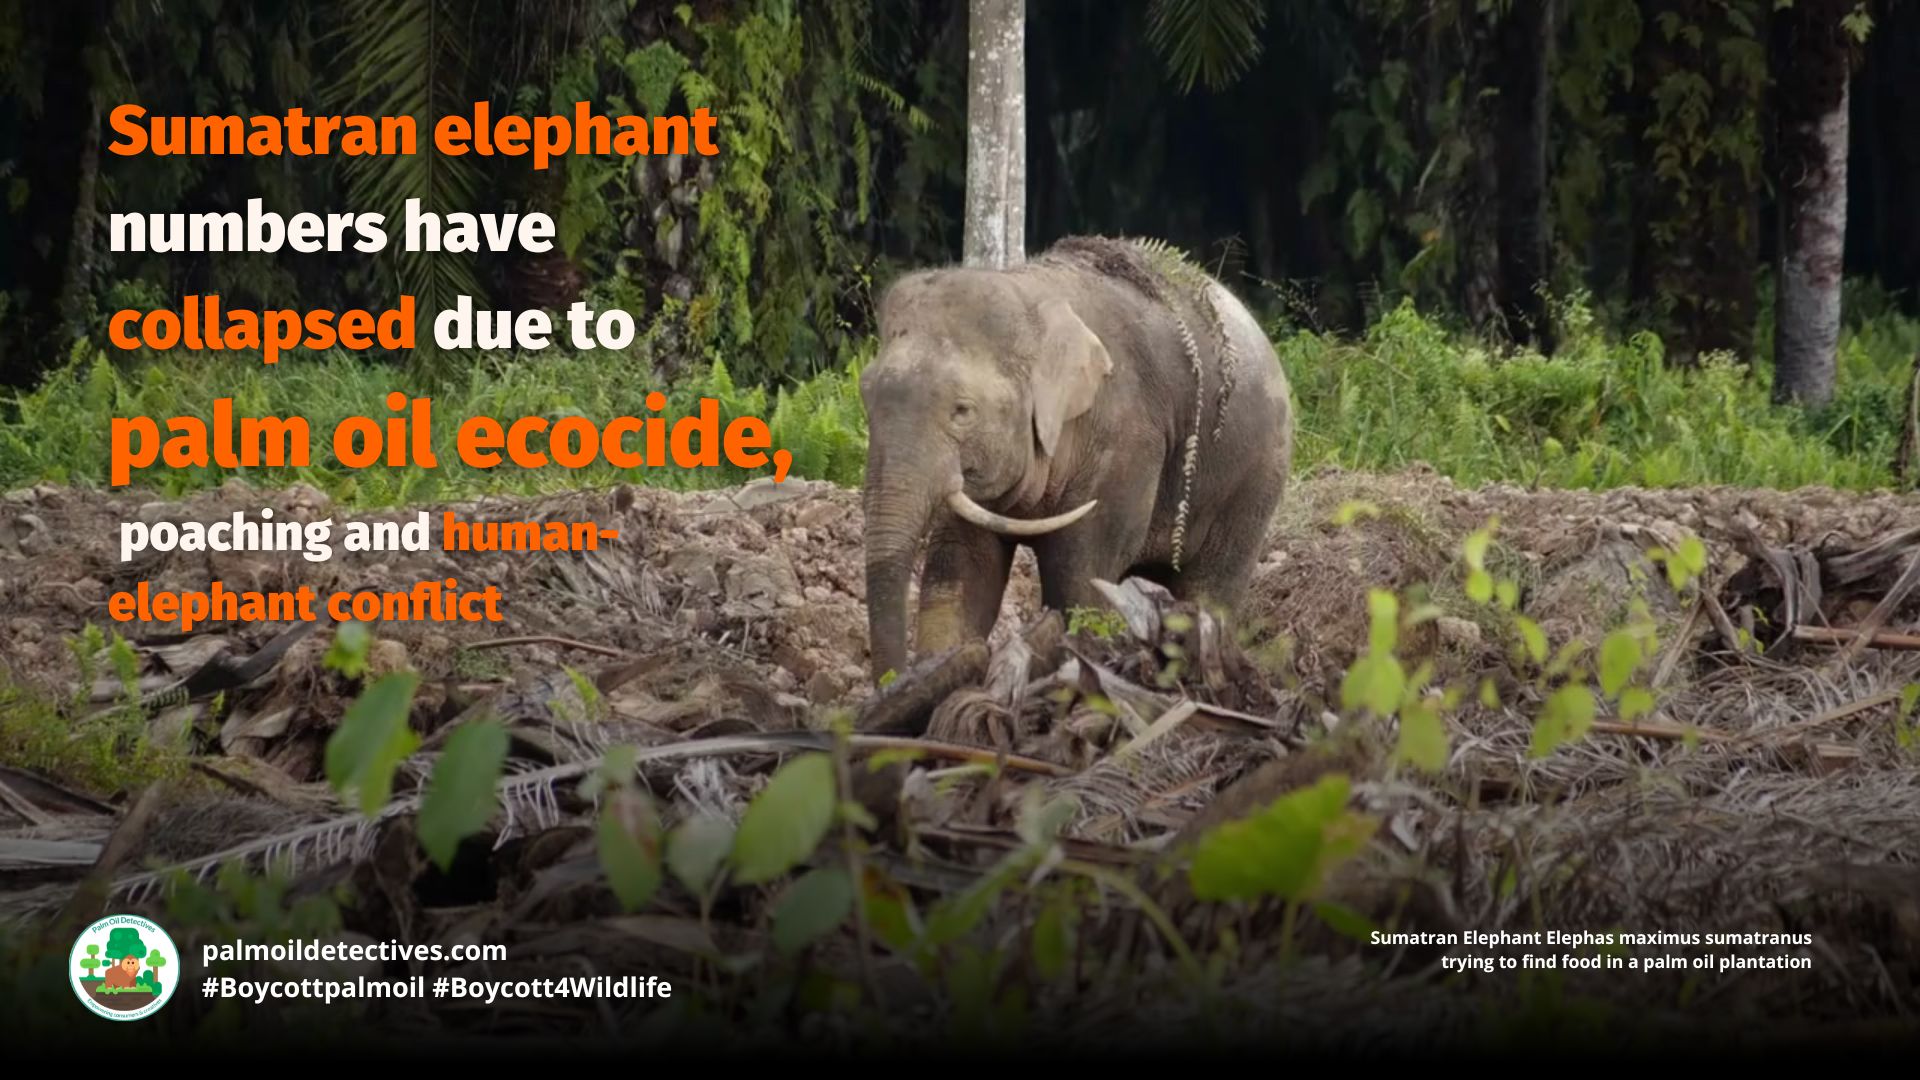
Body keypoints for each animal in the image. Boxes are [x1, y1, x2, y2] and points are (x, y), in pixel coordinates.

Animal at [858, 234, 1294, 684]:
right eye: (866, 396)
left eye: (962, 411)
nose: (890, 679)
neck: (1027, 290)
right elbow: (962, 570)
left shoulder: (1125, 439)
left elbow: (1080, 577)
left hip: (1255, 477)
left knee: (1210, 588)